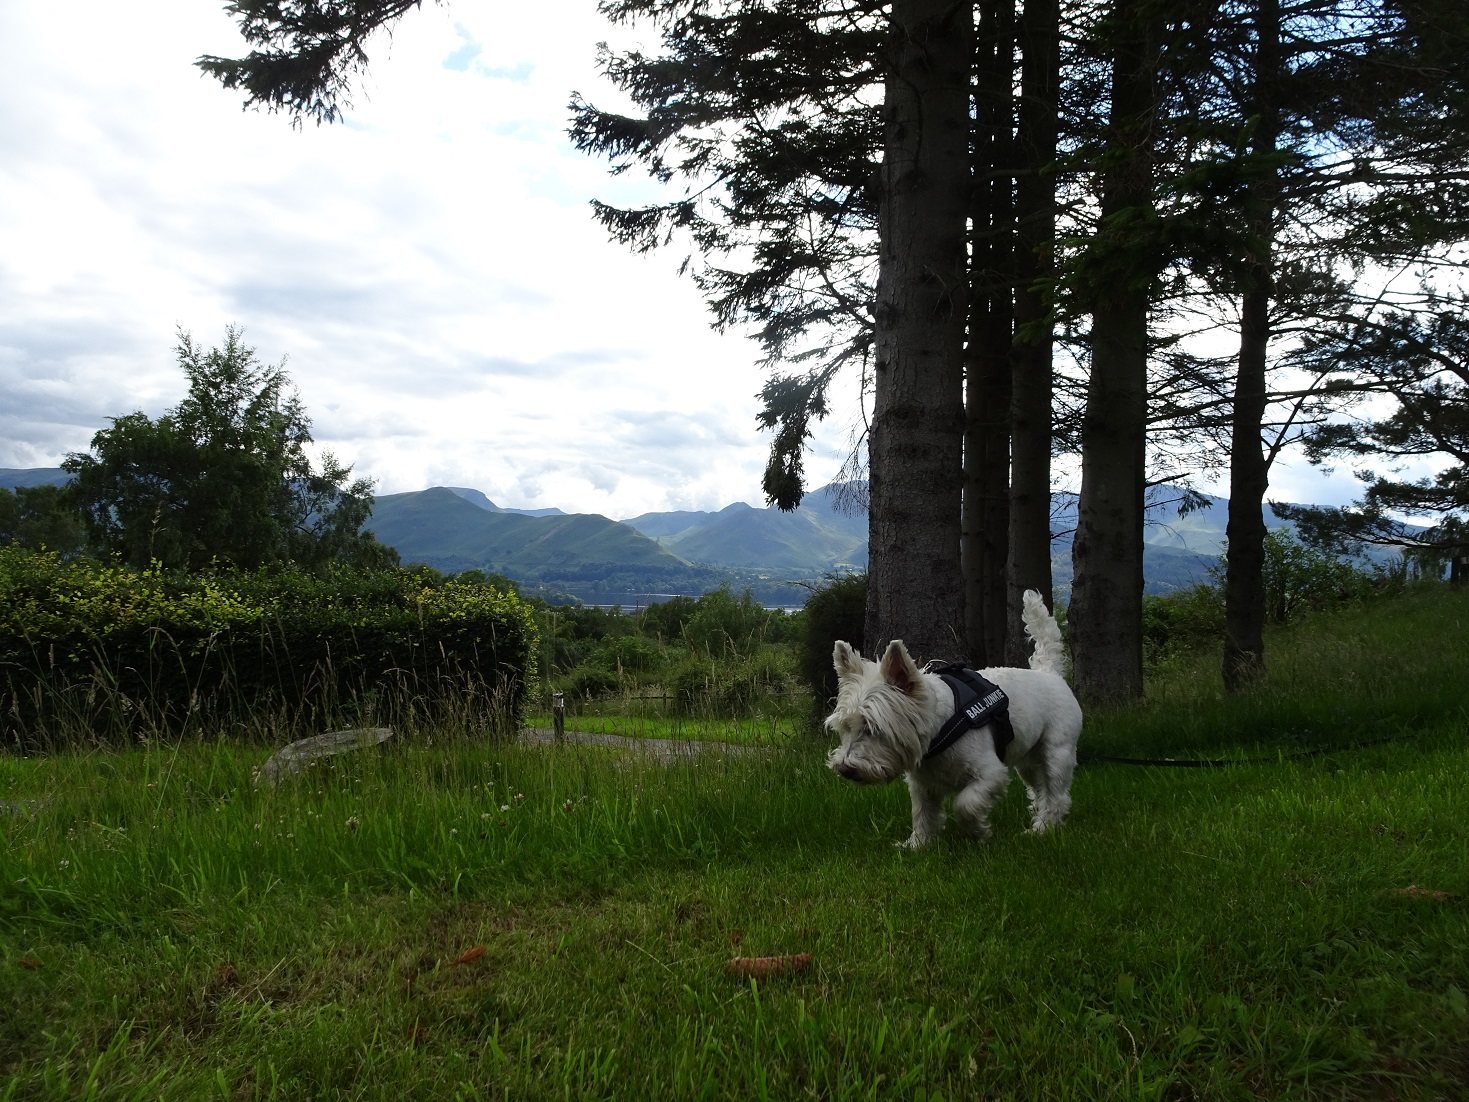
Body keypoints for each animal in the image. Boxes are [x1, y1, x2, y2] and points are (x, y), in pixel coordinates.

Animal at [828, 590, 1081, 852]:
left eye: (874, 727)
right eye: (846, 727)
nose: (845, 768)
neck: (939, 729)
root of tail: (1050, 673)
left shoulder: (991, 773)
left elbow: (965, 804)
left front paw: (978, 831)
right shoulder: (922, 784)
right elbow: (922, 813)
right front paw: (917, 845)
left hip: (1057, 751)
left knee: (1056, 794)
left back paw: (1044, 828)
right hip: (1029, 761)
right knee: (1041, 791)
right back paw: (1037, 826)